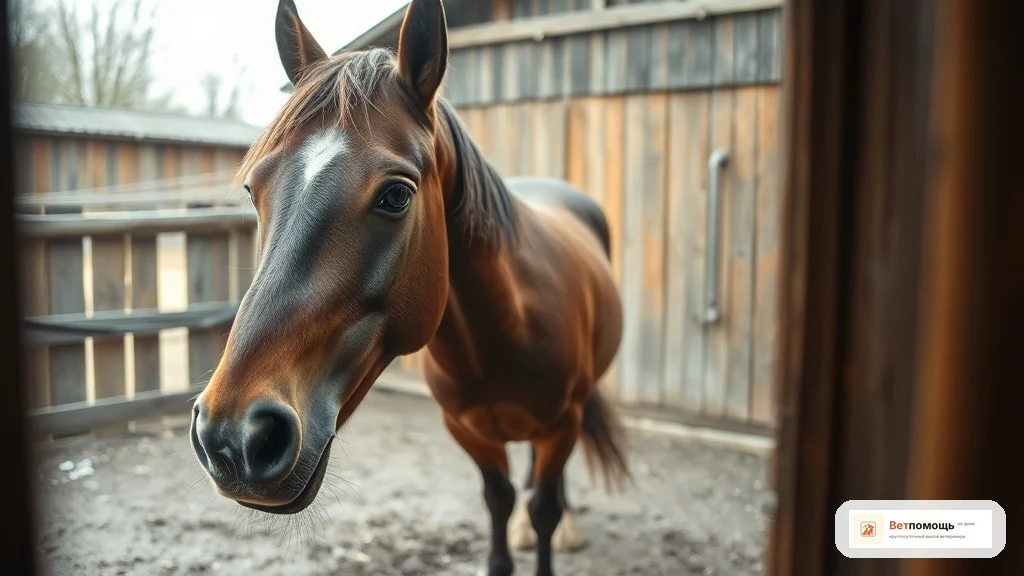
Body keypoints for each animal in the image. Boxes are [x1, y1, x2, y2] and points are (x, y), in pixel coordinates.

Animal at [189, 1, 631, 574]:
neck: (504, 334)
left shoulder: (562, 425)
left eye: (396, 195)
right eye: (252, 190)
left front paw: (552, 526)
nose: (236, 438)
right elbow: (500, 500)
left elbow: (545, 510)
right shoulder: (468, 432)